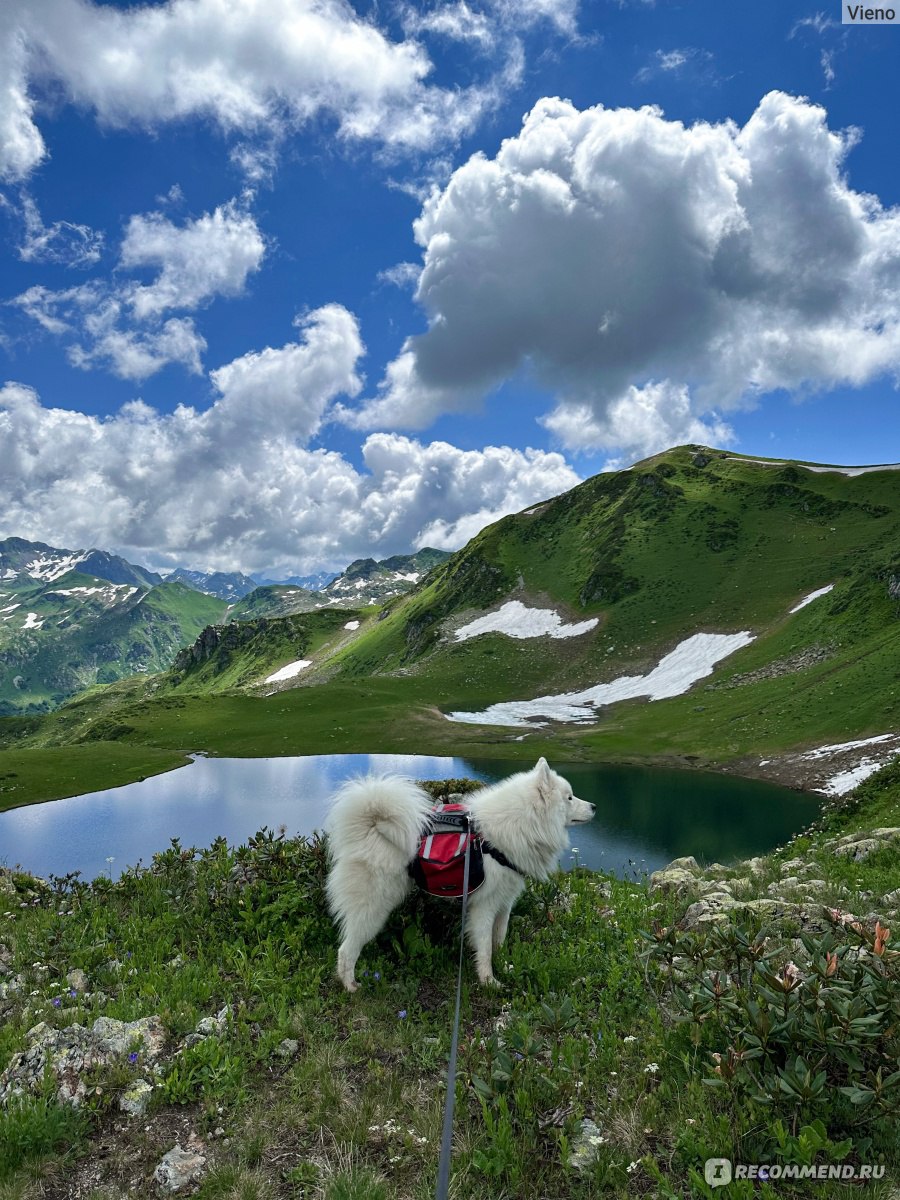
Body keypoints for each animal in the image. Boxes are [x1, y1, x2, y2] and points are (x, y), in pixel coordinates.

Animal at [328, 758, 595, 993]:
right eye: (569, 797)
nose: (594, 806)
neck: (520, 823)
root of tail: (368, 826)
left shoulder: (504, 901)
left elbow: (499, 939)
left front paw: (504, 967)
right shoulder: (484, 906)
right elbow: (485, 947)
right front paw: (489, 981)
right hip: (373, 907)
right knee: (346, 950)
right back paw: (351, 986)